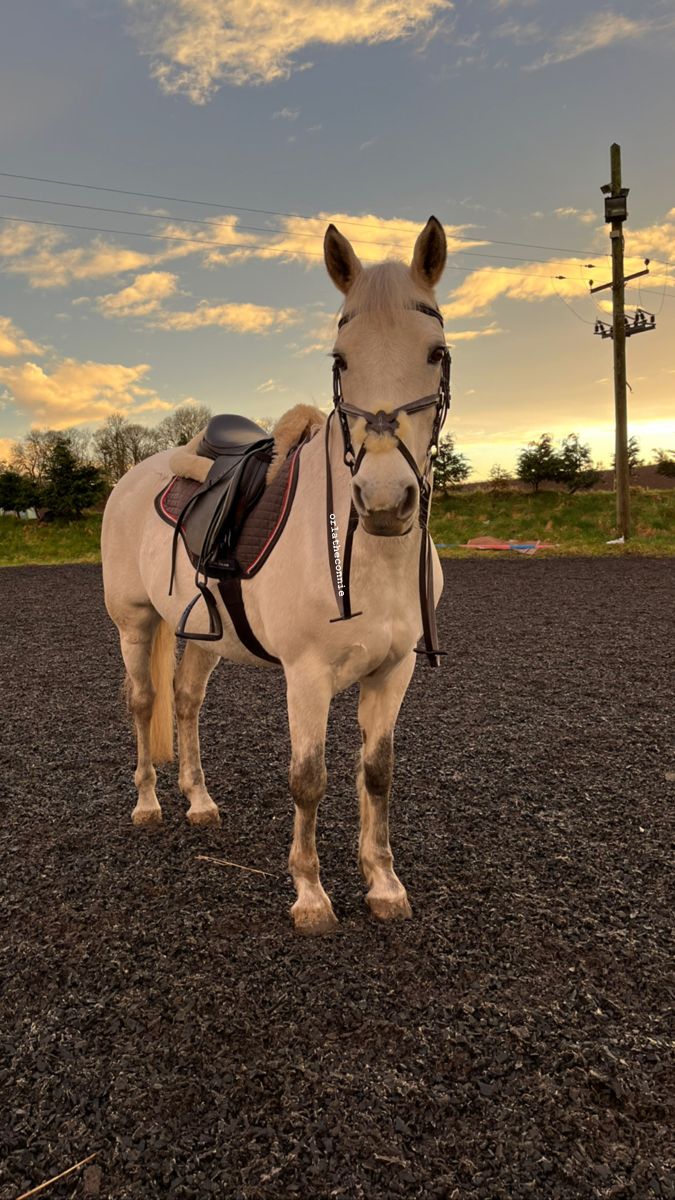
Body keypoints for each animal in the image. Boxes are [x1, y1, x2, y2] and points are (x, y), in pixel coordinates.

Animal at [102, 216, 449, 931]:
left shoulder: (393, 670)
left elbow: (378, 772)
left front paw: (383, 883)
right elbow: (308, 778)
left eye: (435, 352)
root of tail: (133, 473)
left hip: (203, 636)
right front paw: (310, 894)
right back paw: (149, 805)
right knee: (143, 701)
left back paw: (199, 802)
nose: (383, 501)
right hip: (135, 623)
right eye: (340, 360)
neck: (367, 556)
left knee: (185, 702)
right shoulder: (306, 676)